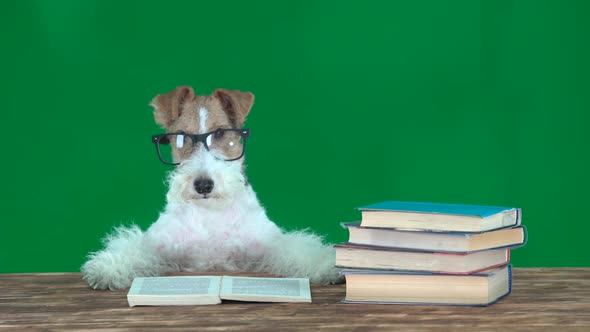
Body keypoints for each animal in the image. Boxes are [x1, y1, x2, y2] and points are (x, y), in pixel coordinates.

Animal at [82, 87, 342, 290]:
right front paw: (107, 267)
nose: (203, 185)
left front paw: (329, 265)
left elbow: (299, 248)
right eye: (181, 136)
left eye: (220, 132)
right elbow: (136, 247)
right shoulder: (158, 244)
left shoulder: (269, 244)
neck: (211, 213)